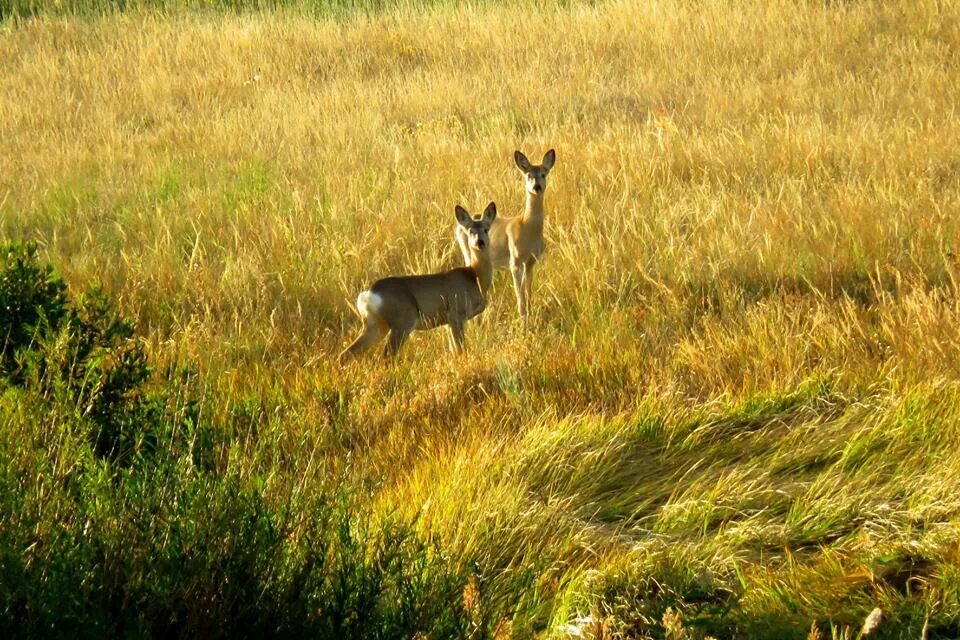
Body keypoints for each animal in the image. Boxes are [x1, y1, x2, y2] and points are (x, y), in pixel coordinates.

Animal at [338, 201, 498, 360]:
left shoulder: (448, 322)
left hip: (375, 325)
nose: (480, 242)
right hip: (403, 321)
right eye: (470, 231)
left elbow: (454, 350)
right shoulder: (456, 313)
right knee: (386, 356)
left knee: (347, 353)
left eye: (486, 229)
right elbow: (460, 350)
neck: (474, 277)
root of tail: (369, 294)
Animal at [458, 149, 556, 330]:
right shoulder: (515, 261)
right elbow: (519, 296)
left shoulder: (531, 262)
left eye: (544, 174)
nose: (537, 187)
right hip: (468, 254)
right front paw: (524, 324)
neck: (527, 228)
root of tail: (458, 226)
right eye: (528, 174)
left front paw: (531, 317)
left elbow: (528, 292)